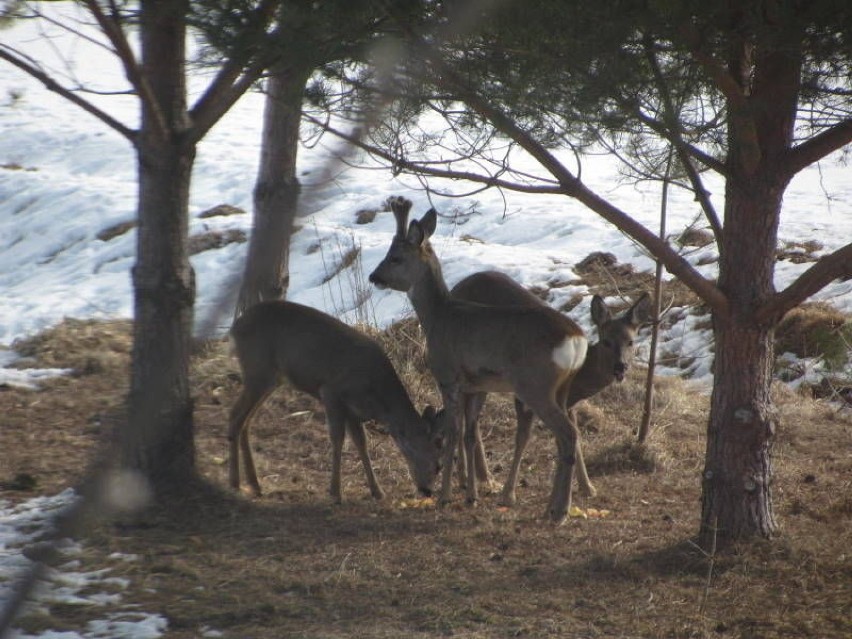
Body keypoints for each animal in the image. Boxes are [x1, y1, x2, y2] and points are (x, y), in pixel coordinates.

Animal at [226, 300, 442, 504]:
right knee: (235, 415)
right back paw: (235, 482)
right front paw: (335, 493)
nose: (427, 491)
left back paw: (254, 484)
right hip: (258, 370)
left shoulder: (353, 411)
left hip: (270, 379)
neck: (377, 397)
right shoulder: (331, 391)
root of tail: (234, 328)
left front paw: (377, 491)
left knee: (246, 420)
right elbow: (338, 439)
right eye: (434, 464)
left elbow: (361, 443)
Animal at [370, 196, 588, 524]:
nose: (374, 277)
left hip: (534, 384)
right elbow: (470, 433)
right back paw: (552, 507)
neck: (437, 317)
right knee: (565, 434)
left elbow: (453, 432)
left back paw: (559, 512)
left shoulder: (447, 376)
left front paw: (445, 496)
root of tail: (576, 337)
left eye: (394, 257)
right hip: (562, 386)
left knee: (567, 433)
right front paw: (471, 495)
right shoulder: (475, 385)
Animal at [450, 272, 648, 508]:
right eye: (606, 341)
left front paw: (587, 487)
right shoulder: (525, 393)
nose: (620, 367)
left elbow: (574, 437)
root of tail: (456, 286)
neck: (580, 378)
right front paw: (509, 494)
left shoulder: (569, 402)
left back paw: (479, 478)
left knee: (469, 418)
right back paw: (470, 479)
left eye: (631, 341)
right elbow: (523, 438)